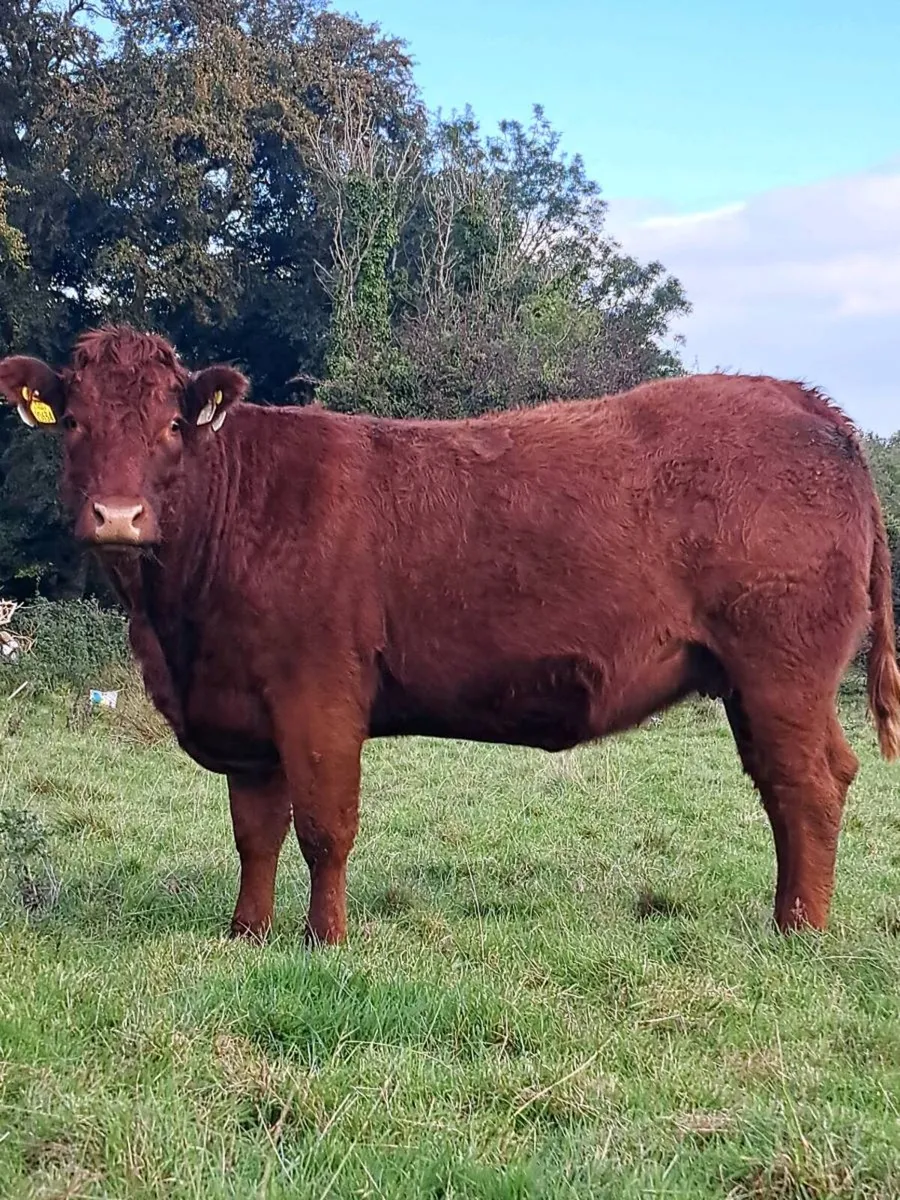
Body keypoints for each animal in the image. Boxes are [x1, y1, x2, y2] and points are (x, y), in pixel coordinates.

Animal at [1, 326, 898, 945]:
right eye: (72, 422)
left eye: (170, 427)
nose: (119, 516)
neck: (178, 626)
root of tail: (800, 398)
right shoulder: (242, 711)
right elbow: (255, 833)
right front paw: (245, 935)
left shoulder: (319, 693)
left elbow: (325, 826)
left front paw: (324, 941)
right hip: (758, 683)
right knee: (811, 779)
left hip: (781, 670)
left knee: (805, 786)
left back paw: (798, 931)